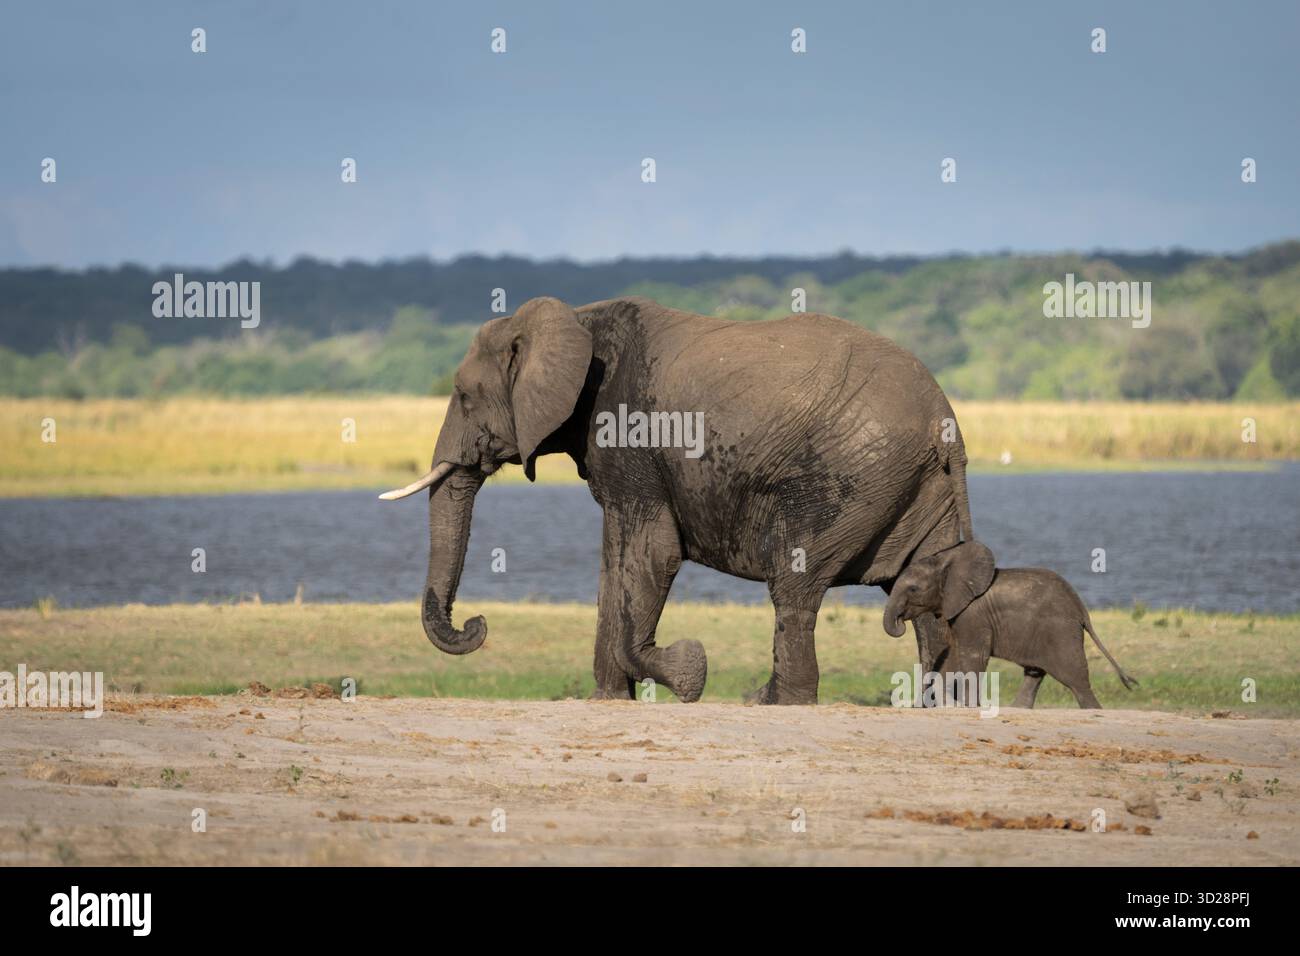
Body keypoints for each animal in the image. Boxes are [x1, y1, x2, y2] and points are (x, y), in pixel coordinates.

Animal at [379, 295, 976, 704]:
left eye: (463, 395)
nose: (476, 624)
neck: (575, 320)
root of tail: (942, 419)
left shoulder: (632, 437)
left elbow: (652, 553)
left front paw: (689, 672)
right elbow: (614, 564)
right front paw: (607, 699)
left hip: (850, 479)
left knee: (795, 583)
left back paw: (772, 701)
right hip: (918, 485)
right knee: (924, 586)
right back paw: (940, 704)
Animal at [881, 540, 1139, 708]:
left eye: (913, 589)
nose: (900, 621)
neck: (945, 561)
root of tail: (1083, 610)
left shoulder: (973, 615)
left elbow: (973, 656)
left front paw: (969, 706)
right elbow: (954, 655)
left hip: (1061, 632)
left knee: (1076, 682)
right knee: (1035, 673)